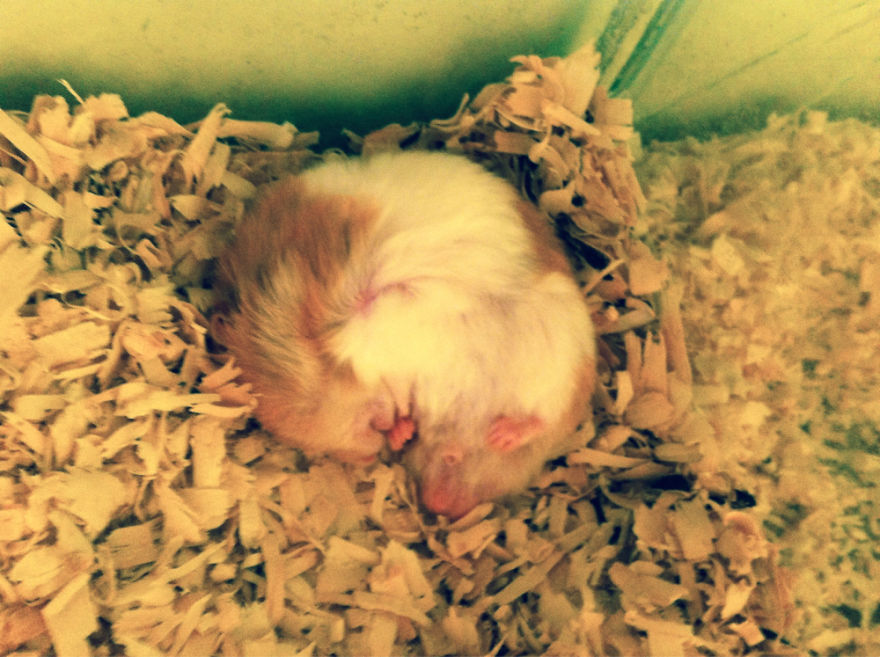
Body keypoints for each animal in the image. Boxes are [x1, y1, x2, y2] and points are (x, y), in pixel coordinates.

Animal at [215, 150, 596, 514]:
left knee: (545, 416)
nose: (371, 449)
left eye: (365, 423)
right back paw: (416, 435)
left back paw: (504, 433)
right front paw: (399, 423)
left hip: (562, 348)